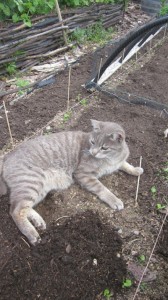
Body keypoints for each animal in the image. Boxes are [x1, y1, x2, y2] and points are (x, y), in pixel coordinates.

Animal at [0, 120, 143, 246]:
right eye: (92, 142)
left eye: (104, 147)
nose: (93, 152)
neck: (111, 159)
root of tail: (7, 156)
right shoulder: (83, 175)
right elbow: (103, 189)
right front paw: (114, 200)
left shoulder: (118, 162)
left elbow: (126, 165)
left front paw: (136, 170)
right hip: (32, 184)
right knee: (16, 211)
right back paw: (32, 233)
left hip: (39, 188)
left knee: (23, 207)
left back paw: (38, 221)